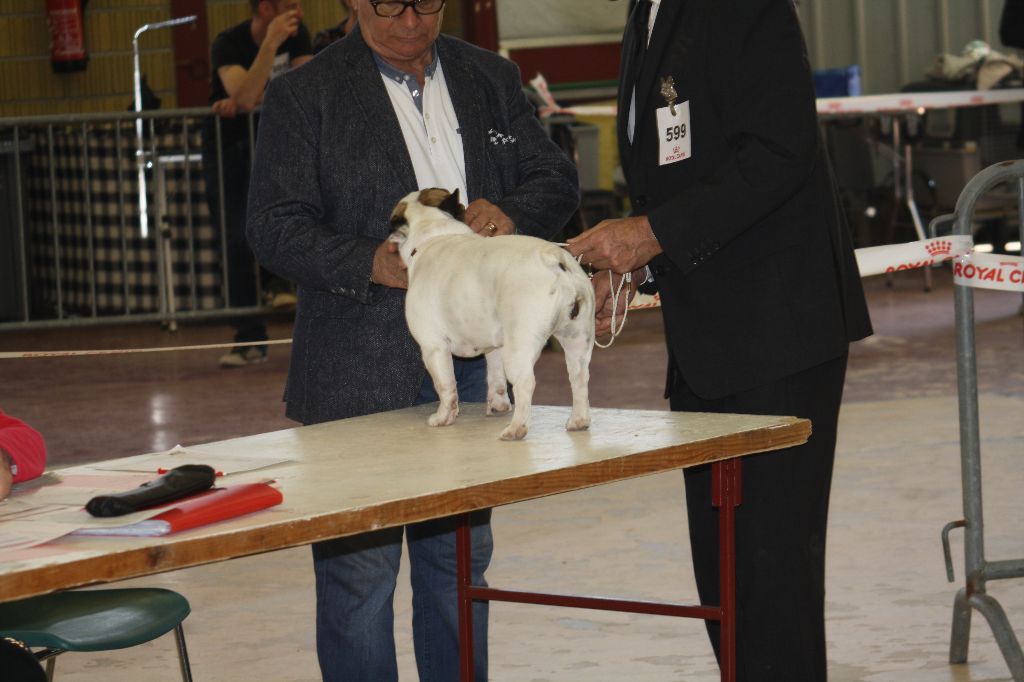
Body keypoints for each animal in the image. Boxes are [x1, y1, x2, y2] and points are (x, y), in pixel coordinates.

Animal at [389, 187, 598, 440]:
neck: (435, 232)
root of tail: (554, 260)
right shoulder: (494, 347)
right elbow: (495, 377)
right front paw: (498, 406)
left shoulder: (433, 347)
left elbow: (446, 386)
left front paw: (443, 418)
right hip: (577, 338)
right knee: (579, 378)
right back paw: (578, 420)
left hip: (519, 344)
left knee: (525, 383)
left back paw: (516, 429)